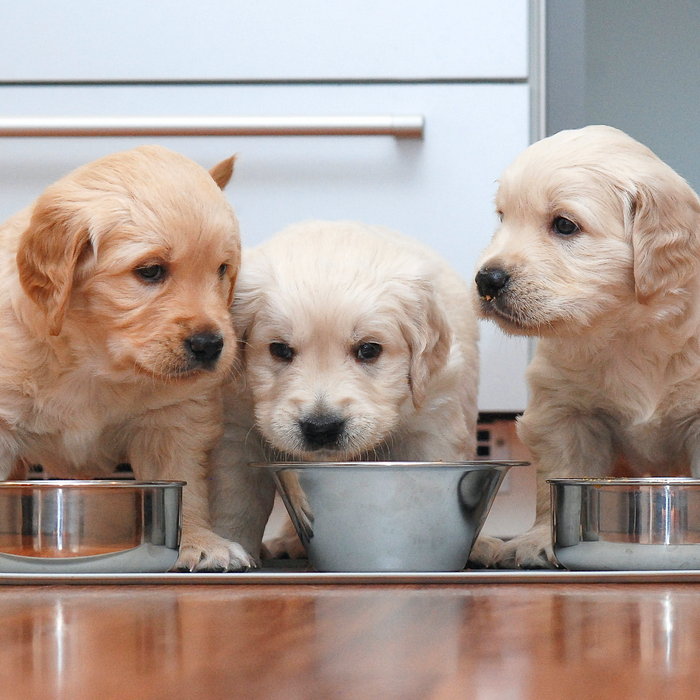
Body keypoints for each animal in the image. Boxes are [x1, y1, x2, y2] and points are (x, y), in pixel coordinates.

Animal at [0, 145, 252, 572]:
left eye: (222, 269)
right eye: (150, 271)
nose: (210, 345)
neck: (95, 359)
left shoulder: (174, 419)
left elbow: (183, 482)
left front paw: (198, 541)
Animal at [209, 220, 498, 568]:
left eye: (369, 350)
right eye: (279, 349)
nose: (321, 427)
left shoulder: (432, 421)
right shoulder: (236, 428)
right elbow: (237, 500)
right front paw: (229, 547)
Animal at [474, 123, 700, 568]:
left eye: (564, 225)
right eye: (502, 218)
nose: (486, 279)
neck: (626, 331)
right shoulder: (563, 413)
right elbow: (557, 478)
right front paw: (539, 540)